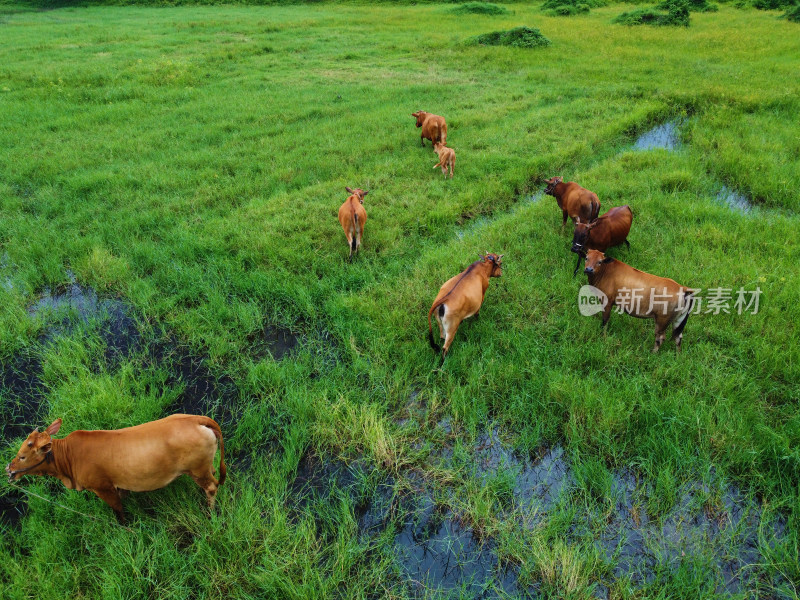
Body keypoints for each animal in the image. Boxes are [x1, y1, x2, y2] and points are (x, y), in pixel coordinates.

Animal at [5, 414, 225, 524]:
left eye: (23, 455)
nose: (9, 469)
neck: (69, 459)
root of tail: (196, 419)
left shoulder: (103, 487)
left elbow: (118, 509)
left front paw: (125, 527)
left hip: (197, 469)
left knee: (212, 487)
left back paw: (209, 512)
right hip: (204, 467)